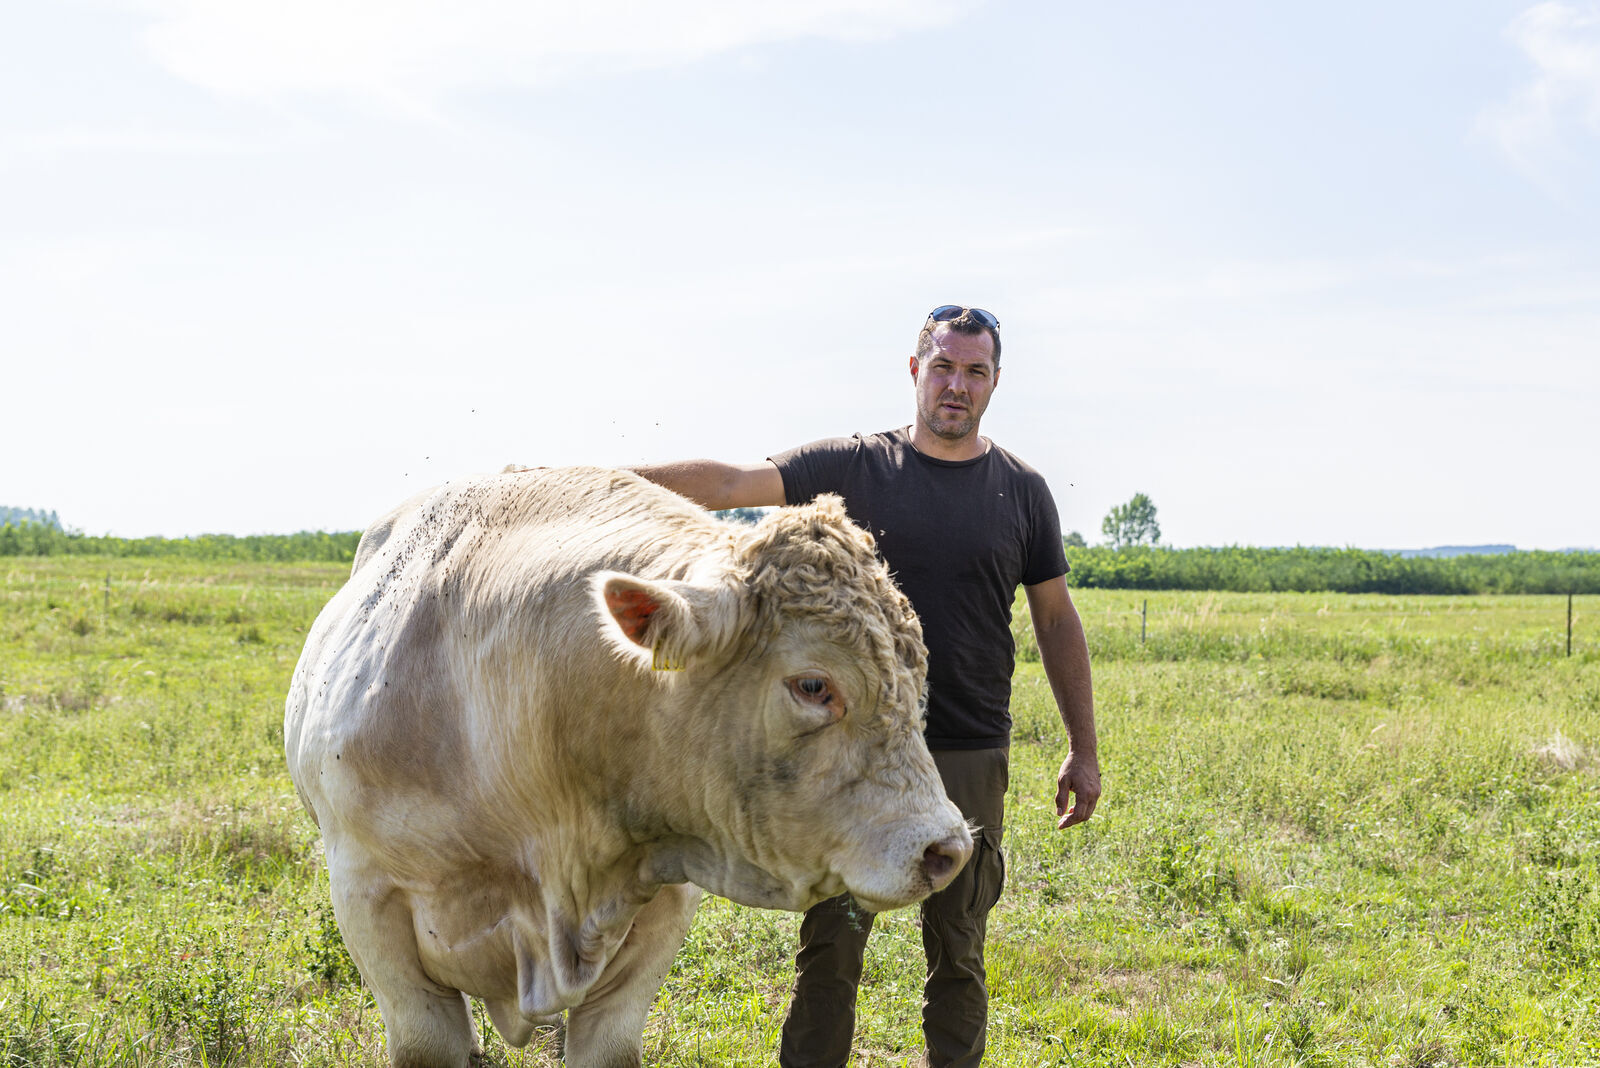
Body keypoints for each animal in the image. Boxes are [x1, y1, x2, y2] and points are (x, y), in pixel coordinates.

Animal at [281, 466, 966, 1068]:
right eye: (814, 685)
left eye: (917, 674)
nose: (946, 849)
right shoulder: (367, 896)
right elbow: (428, 1041)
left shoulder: (661, 910)